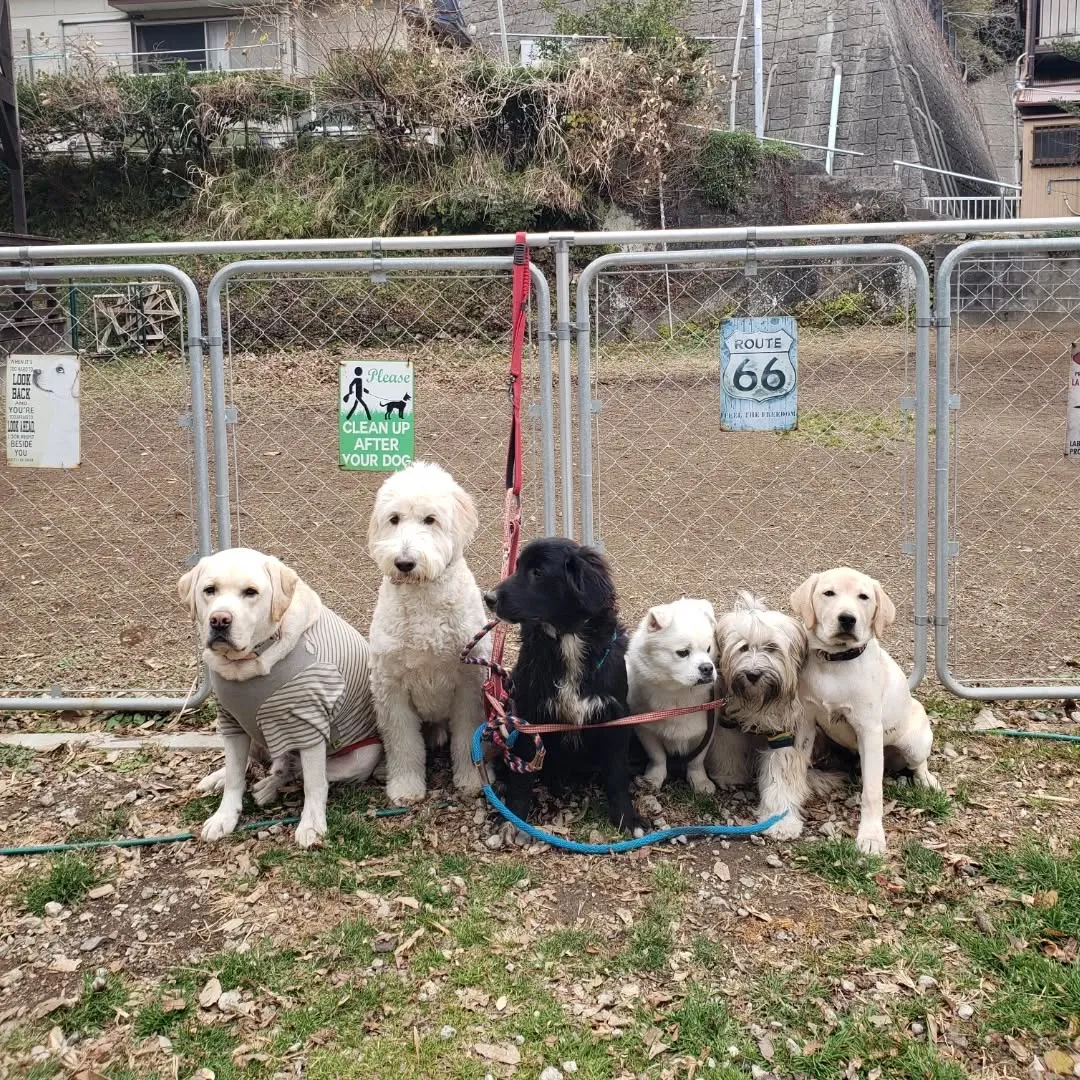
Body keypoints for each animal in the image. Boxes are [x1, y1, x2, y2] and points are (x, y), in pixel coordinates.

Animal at [183, 552, 386, 846]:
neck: (247, 664)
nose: (219, 619)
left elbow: (314, 783)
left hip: (362, 757)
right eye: (209, 590)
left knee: (293, 770)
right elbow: (234, 775)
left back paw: (268, 787)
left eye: (251, 592)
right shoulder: (231, 721)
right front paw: (224, 817)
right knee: (260, 765)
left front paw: (311, 825)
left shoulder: (308, 723)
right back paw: (223, 779)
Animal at [371, 460, 490, 807]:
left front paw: (472, 781)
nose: (404, 562)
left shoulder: (468, 684)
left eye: (430, 519)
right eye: (394, 519)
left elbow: (466, 738)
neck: (423, 597)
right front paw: (405, 787)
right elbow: (404, 745)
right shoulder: (391, 689)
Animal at [486, 535, 643, 829]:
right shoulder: (528, 718)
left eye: (538, 572)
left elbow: (617, 775)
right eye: (517, 567)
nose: (488, 598)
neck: (567, 638)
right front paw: (514, 820)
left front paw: (627, 819)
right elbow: (521, 779)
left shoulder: (615, 717)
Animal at [626, 600, 717, 794]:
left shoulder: (706, 732)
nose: (707, 668)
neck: (679, 693)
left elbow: (696, 760)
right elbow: (658, 757)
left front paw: (700, 782)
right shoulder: (646, 730)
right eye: (682, 653)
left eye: (708, 649)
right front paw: (653, 778)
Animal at [790, 570, 941, 855]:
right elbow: (797, 765)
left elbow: (872, 792)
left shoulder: (869, 730)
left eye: (864, 597)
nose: (847, 619)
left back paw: (928, 781)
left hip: (913, 742)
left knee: (918, 764)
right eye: (828, 593)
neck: (836, 662)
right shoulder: (806, 721)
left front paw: (871, 837)